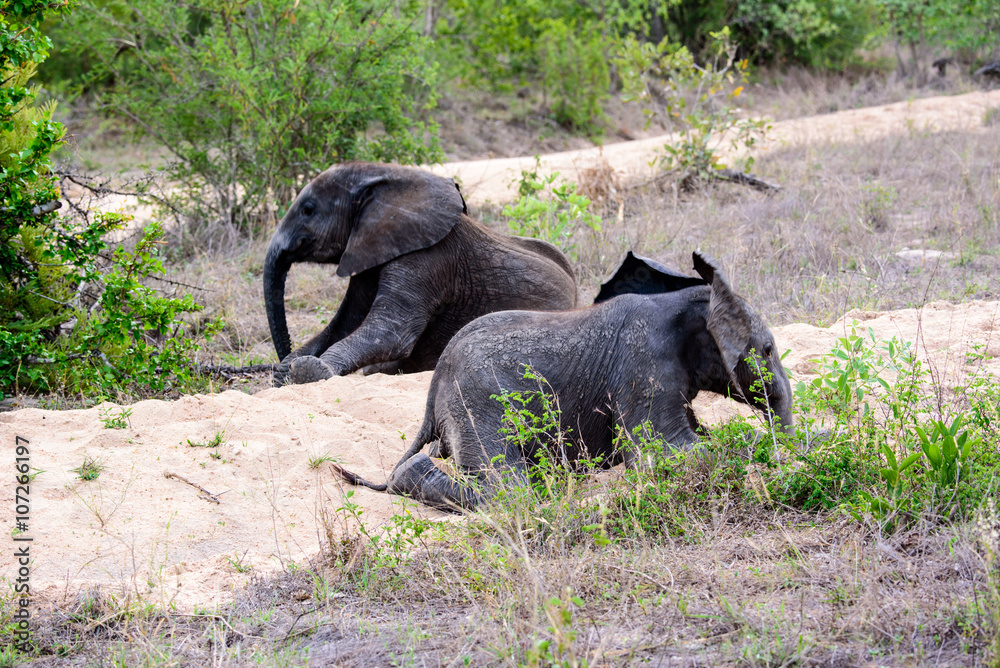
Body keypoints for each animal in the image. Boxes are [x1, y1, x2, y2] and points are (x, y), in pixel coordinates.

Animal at [263, 162, 578, 384]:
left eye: (308, 209)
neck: (388, 177)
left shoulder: (429, 256)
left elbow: (390, 334)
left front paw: (307, 371)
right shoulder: (370, 249)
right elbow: (344, 323)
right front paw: (285, 372)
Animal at [333, 251, 794, 512]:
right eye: (768, 349)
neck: (688, 300)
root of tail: (434, 387)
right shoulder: (643, 363)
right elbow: (665, 452)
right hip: (477, 405)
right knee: (509, 492)